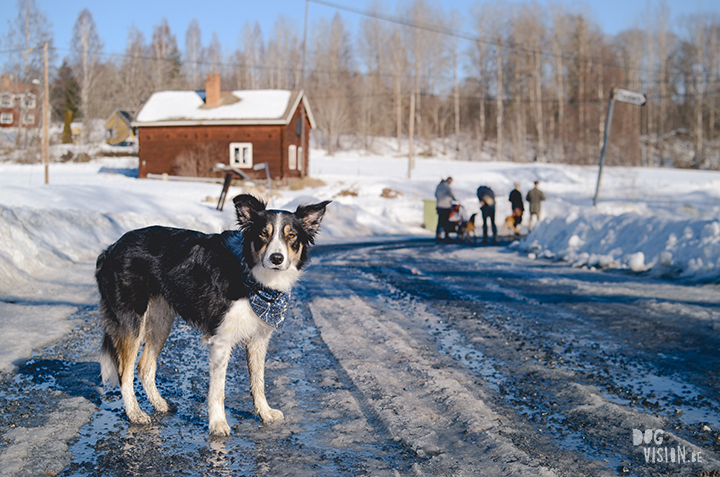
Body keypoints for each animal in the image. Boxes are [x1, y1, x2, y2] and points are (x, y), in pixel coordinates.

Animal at [94, 193, 330, 436]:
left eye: (291, 236)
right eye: (263, 234)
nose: (276, 258)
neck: (252, 278)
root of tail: (111, 248)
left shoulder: (259, 338)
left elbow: (259, 381)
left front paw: (264, 413)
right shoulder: (220, 340)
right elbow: (218, 389)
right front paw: (218, 424)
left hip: (161, 319)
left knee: (145, 366)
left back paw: (160, 403)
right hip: (131, 321)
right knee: (125, 372)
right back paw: (135, 413)